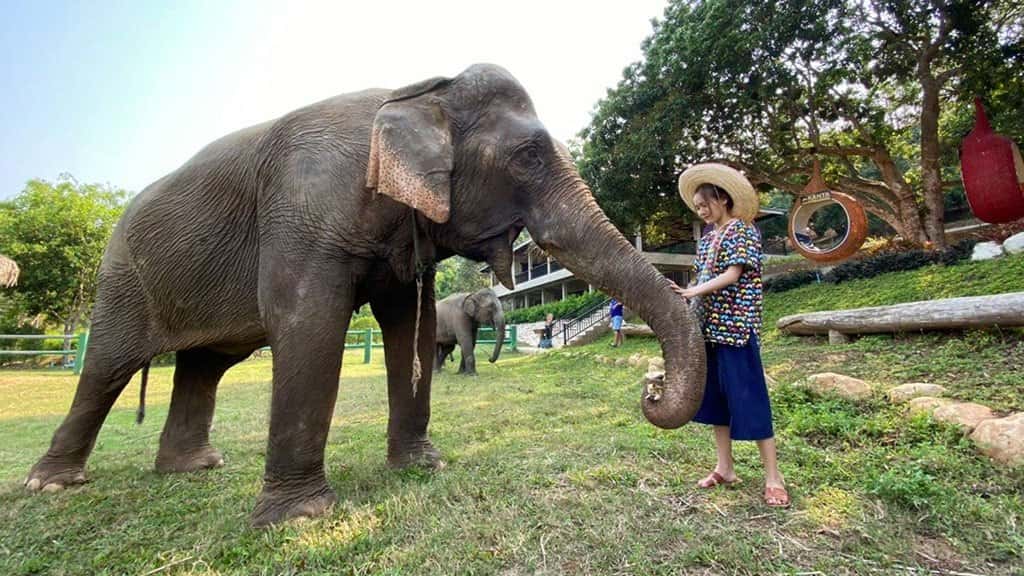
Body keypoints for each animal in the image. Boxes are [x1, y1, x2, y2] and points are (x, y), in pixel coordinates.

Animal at [23, 63, 706, 527]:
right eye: (529, 156)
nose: (649, 389)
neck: (419, 89)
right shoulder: (304, 213)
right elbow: (310, 325)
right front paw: (301, 518)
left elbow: (410, 325)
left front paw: (424, 467)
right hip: (121, 275)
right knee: (108, 365)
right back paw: (51, 485)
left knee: (205, 365)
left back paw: (194, 469)